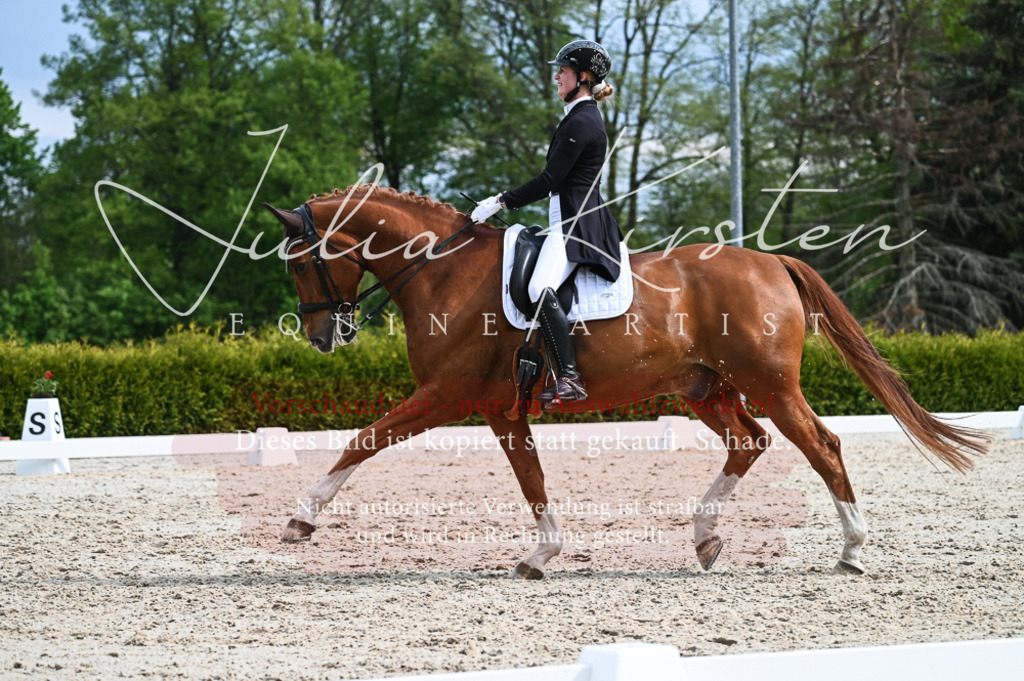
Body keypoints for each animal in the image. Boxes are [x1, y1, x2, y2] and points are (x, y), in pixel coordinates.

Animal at [263, 184, 989, 578]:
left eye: (299, 261)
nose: (322, 335)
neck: (445, 271)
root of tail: (772, 262)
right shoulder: (501, 409)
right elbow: (531, 479)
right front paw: (542, 554)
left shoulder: (447, 395)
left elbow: (364, 439)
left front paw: (301, 519)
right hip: (704, 388)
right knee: (749, 441)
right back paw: (705, 536)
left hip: (772, 385)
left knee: (822, 446)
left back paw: (853, 550)